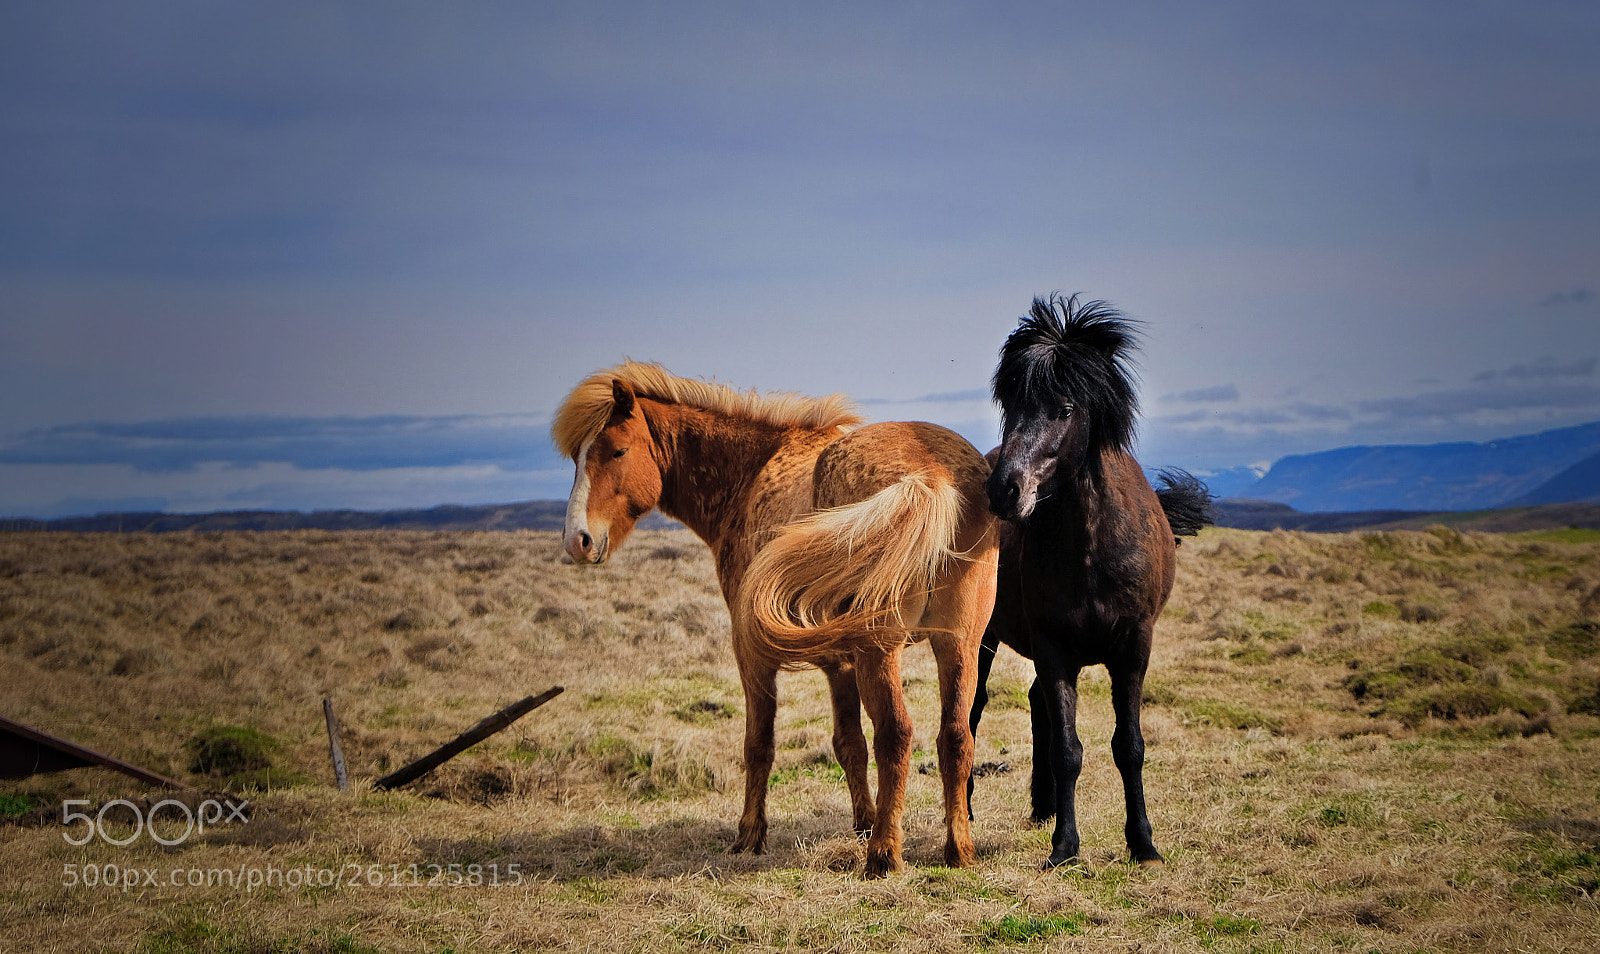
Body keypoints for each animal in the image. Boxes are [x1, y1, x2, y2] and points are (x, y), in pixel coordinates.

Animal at [553, 361, 999, 877]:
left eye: (618, 450)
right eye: (577, 458)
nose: (577, 540)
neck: (750, 474)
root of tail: (931, 475)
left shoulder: (752, 654)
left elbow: (759, 744)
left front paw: (750, 834)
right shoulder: (840, 662)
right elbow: (849, 743)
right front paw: (862, 821)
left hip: (882, 649)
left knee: (897, 735)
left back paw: (884, 854)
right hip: (958, 646)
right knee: (955, 737)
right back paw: (957, 849)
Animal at [969, 294, 1213, 870]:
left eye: (1063, 410)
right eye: (1012, 408)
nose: (1004, 490)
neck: (1089, 551)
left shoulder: (1133, 648)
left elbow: (1129, 746)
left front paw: (1143, 843)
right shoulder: (1055, 648)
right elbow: (1068, 750)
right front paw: (1065, 846)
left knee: (1034, 702)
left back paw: (1042, 806)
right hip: (984, 637)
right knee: (973, 710)